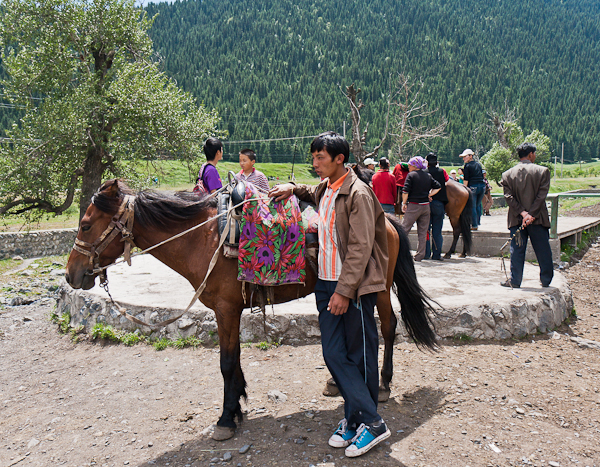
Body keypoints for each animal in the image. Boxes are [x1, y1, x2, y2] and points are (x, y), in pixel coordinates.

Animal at [65, 178, 436, 442]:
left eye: (85, 225)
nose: (71, 274)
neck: (206, 237)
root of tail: (386, 219)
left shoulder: (226, 310)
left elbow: (227, 363)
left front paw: (226, 418)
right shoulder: (230, 312)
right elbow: (235, 359)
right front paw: (238, 404)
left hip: (381, 289)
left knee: (387, 327)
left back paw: (384, 384)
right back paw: (336, 382)